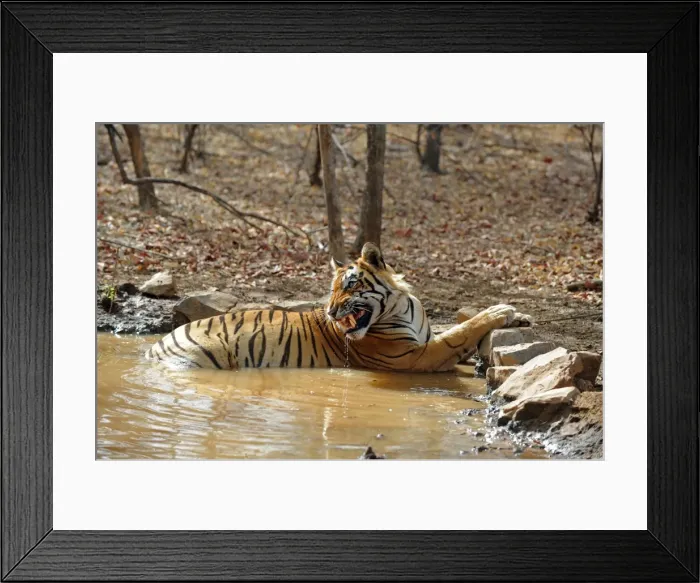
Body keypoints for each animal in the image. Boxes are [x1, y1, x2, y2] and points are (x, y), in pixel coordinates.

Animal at [146, 243, 531, 372]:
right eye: (330, 291)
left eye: (348, 286)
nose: (332, 313)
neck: (404, 306)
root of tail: (157, 344)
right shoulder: (413, 357)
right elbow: (460, 333)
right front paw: (499, 311)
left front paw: (521, 316)